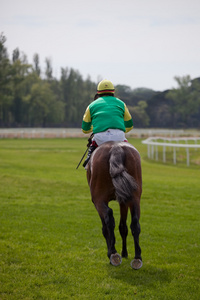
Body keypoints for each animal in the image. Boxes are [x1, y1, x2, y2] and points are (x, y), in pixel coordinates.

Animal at [86, 141, 142, 270]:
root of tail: (115, 147)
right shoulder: (123, 200)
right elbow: (123, 227)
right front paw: (124, 253)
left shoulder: (98, 201)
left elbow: (105, 227)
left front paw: (113, 253)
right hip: (134, 197)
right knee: (135, 223)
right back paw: (137, 258)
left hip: (99, 199)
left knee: (109, 218)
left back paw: (113, 254)